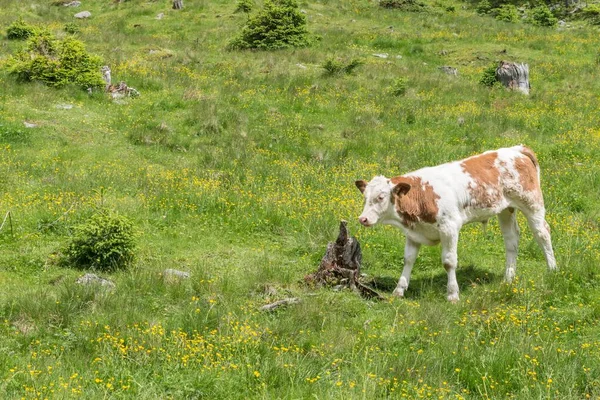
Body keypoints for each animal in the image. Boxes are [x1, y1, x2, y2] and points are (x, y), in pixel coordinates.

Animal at [356, 145, 556, 302]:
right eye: (365, 197)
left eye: (381, 197)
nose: (363, 219)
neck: (423, 194)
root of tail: (516, 149)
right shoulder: (413, 233)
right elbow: (408, 260)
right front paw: (399, 290)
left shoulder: (449, 228)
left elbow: (449, 262)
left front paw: (452, 294)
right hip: (506, 209)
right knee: (511, 239)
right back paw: (508, 278)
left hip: (531, 203)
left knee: (542, 233)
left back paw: (552, 270)